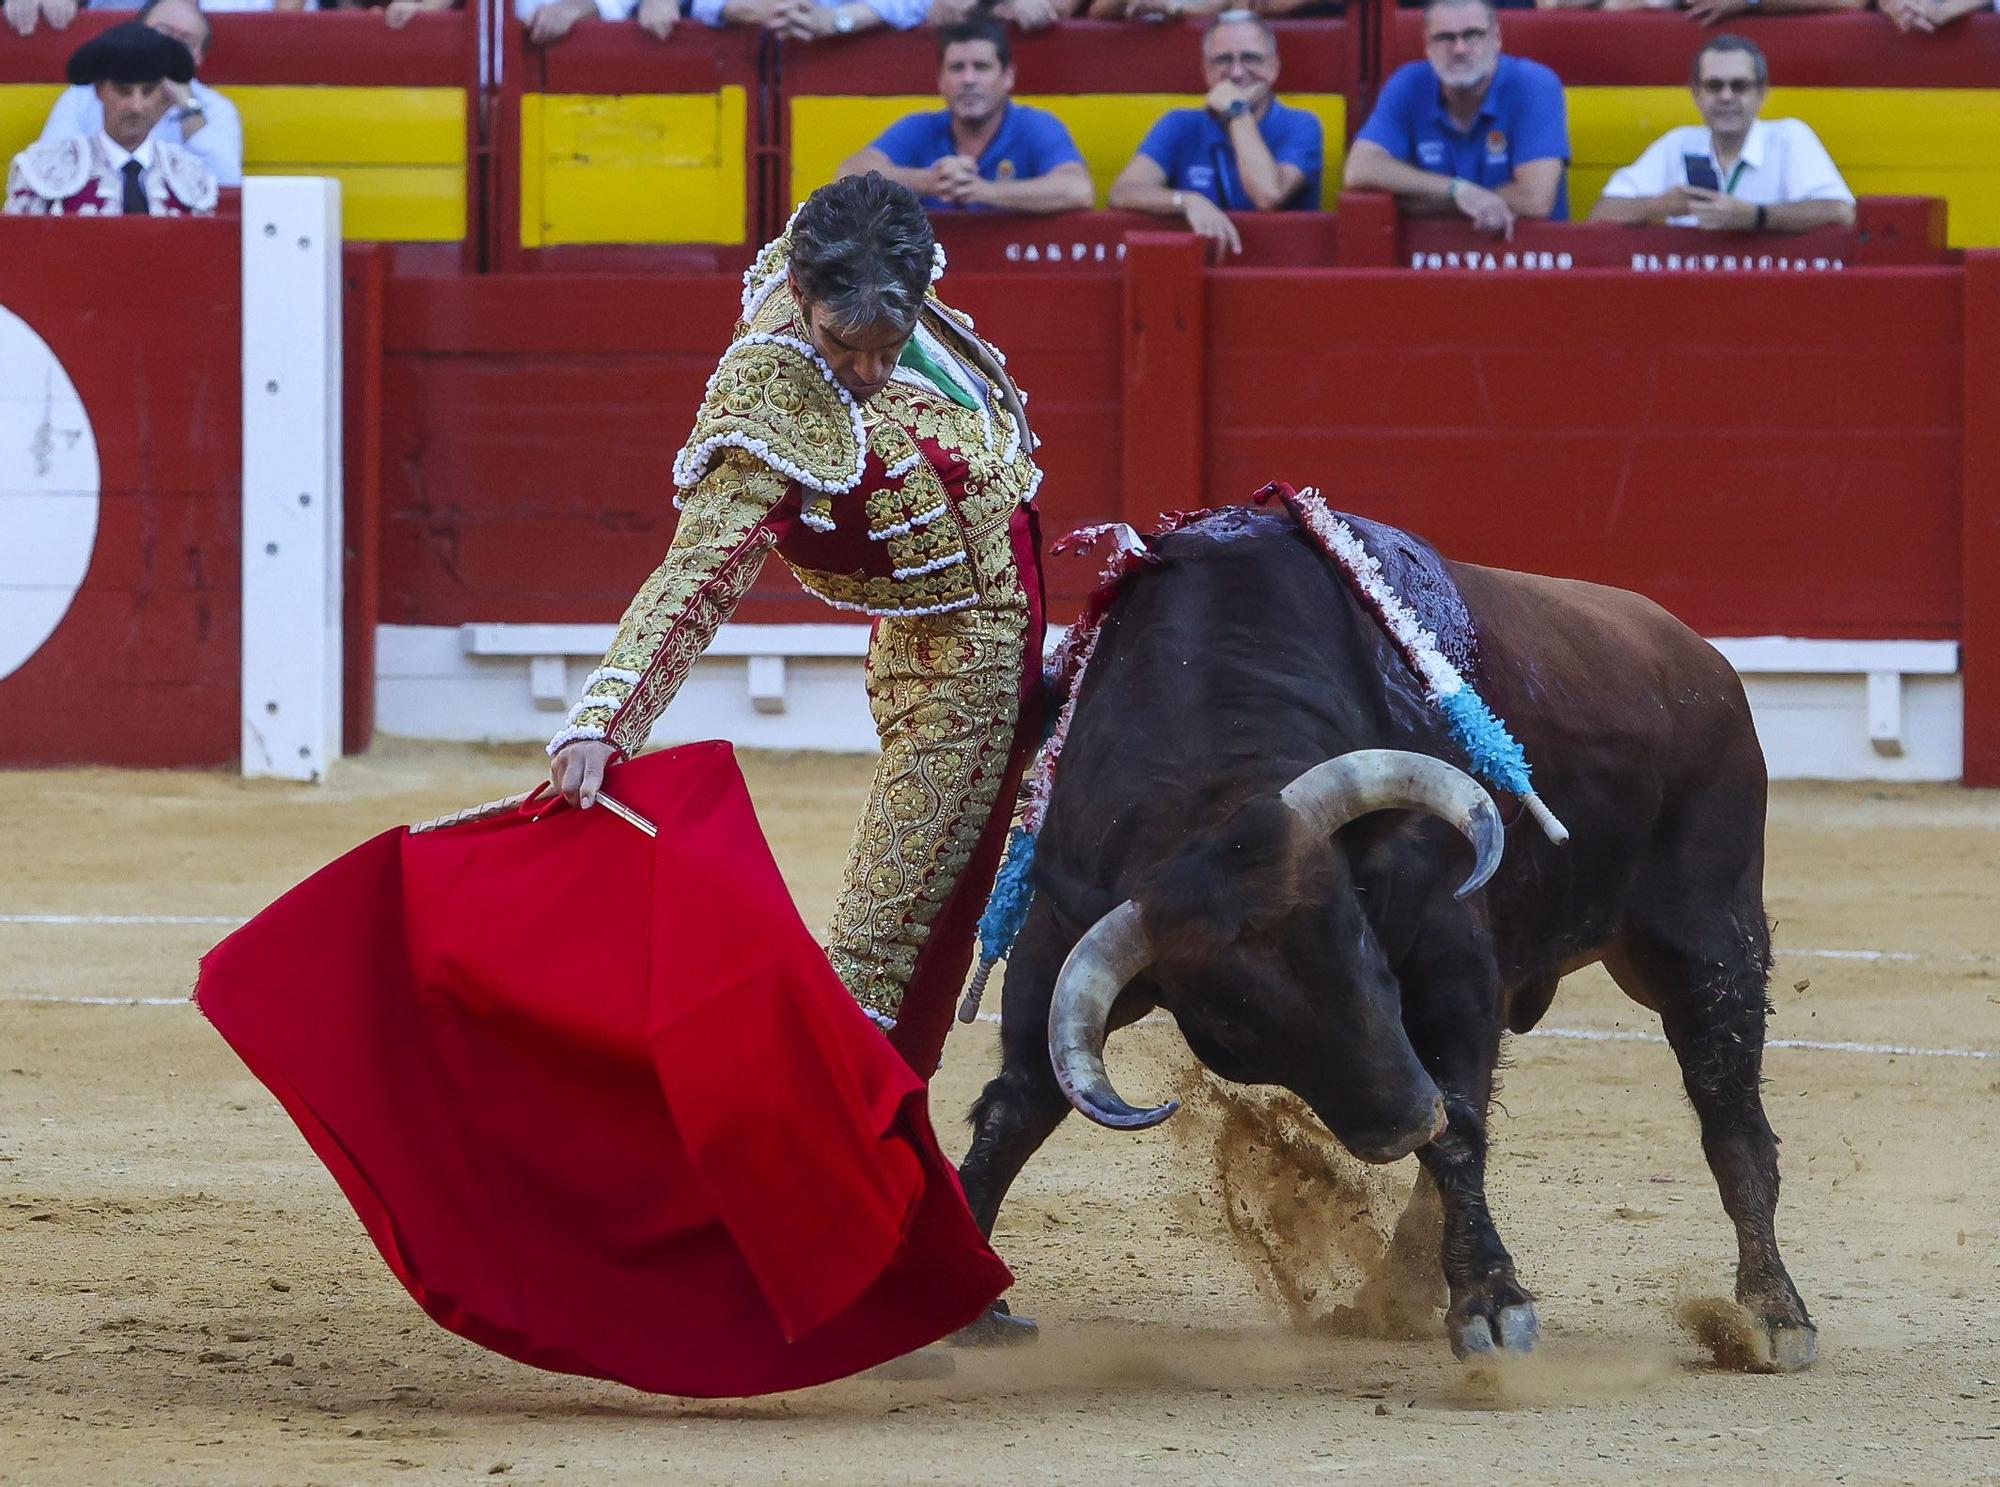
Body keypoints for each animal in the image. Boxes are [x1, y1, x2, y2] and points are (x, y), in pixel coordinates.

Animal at [960, 507, 1824, 1367]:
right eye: (1231, 1028)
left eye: (1364, 944)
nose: (1404, 1117)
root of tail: (1702, 661)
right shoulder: (1054, 948)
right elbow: (1014, 1107)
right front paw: (968, 1297)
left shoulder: (1450, 962)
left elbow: (1459, 1130)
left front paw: (1494, 1304)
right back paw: (1398, 1293)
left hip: (1710, 941)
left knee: (1733, 1122)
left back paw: (1774, 1314)